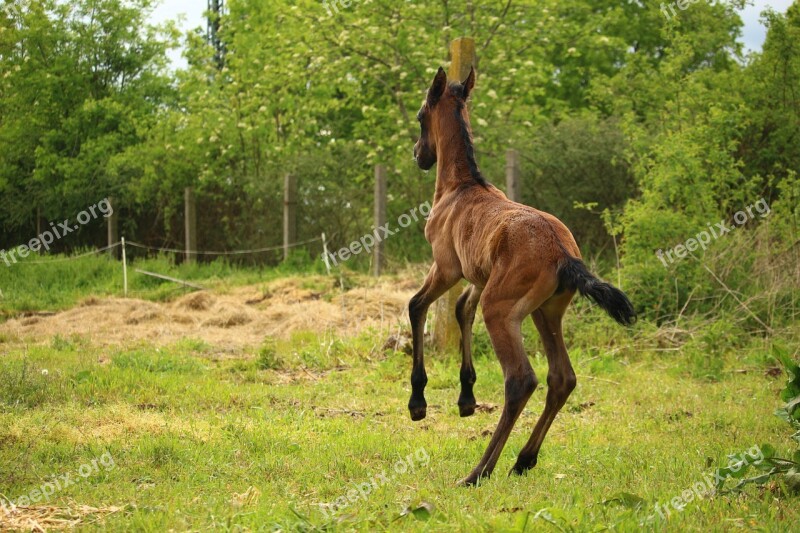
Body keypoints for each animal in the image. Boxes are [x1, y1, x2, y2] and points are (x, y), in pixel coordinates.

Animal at [410, 66, 636, 486]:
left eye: (420, 117)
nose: (419, 155)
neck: (460, 187)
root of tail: (563, 254)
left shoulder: (447, 268)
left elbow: (417, 306)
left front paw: (418, 403)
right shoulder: (479, 278)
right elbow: (462, 310)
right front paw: (466, 399)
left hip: (501, 310)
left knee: (521, 380)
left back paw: (479, 470)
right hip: (545, 311)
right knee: (562, 378)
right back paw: (523, 460)